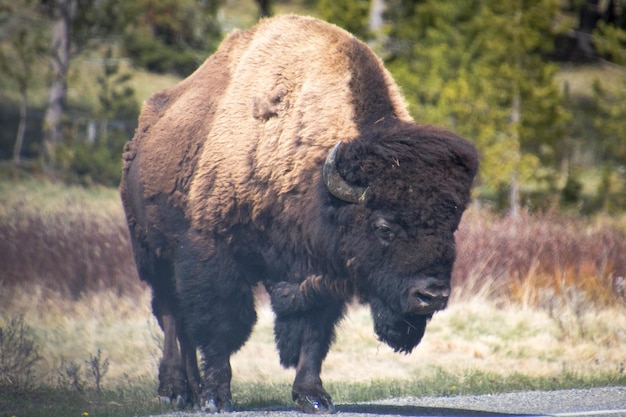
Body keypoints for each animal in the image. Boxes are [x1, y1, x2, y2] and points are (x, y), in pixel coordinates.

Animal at [119, 13, 476, 412]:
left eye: (451, 226)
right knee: (171, 315)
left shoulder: (319, 270)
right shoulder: (213, 252)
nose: (432, 295)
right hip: (152, 252)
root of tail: (144, 131)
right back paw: (177, 390)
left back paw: (192, 390)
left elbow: (312, 333)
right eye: (384, 227)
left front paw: (313, 396)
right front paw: (217, 397)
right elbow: (222, 324)